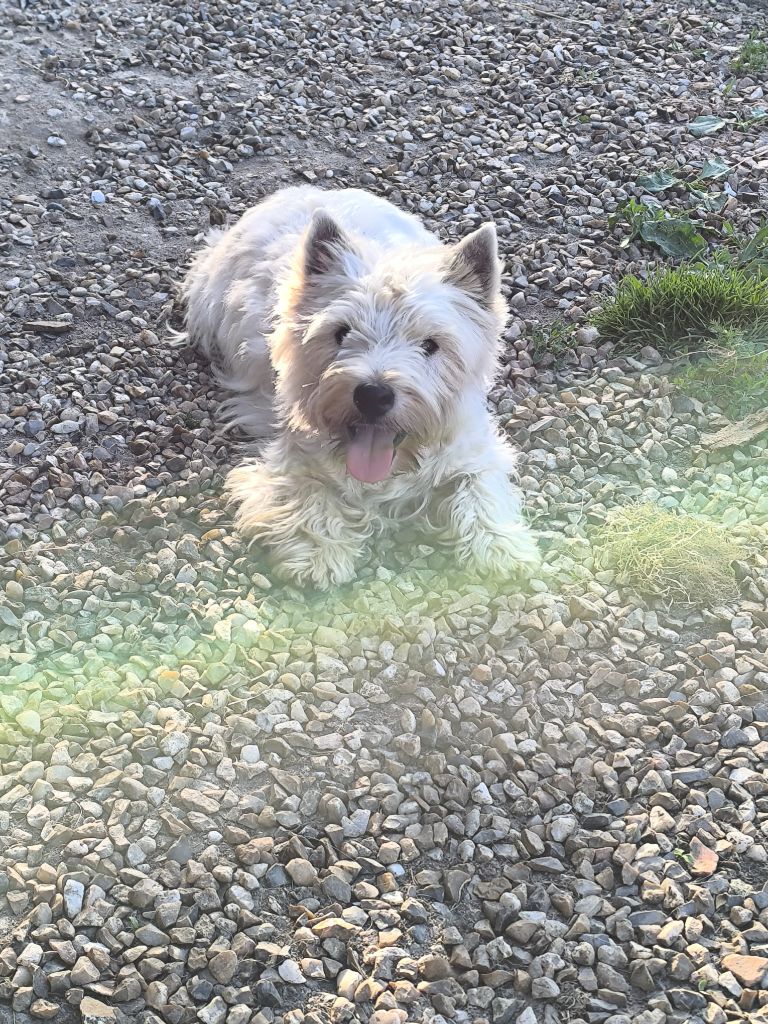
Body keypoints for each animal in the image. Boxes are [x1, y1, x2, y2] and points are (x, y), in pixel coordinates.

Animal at [180, 187, 540, 589]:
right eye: (341, 333)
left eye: (431, 344)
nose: (373, 395)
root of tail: (304, 191)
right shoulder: (289, 456)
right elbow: (308, 491)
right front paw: (318, 555)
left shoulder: (473, 449)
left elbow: (479, 488)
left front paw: (501, 548)